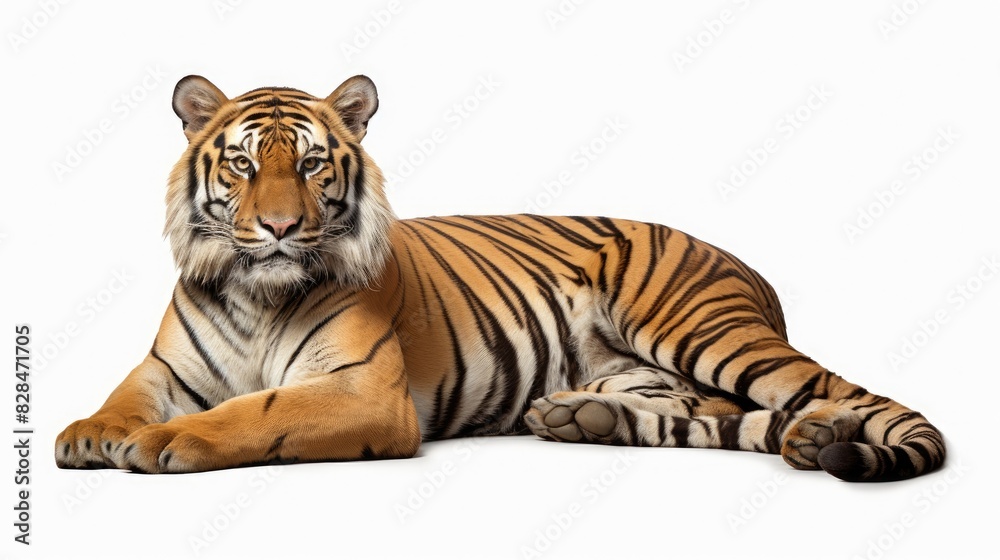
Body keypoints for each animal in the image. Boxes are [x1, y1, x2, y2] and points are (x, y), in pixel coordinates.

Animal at [54, 74, 946, 482]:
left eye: (309, 164)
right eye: (242, 165)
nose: (277, 228)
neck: (257, 291)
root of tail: (747, 265)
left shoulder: (360, 389)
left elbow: (256, 410)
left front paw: (160, 443)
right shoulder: (167, 367)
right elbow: (124, 396)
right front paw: (91, 434)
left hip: (703, 330)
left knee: (833, 392)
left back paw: (822, 434)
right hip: (650, 372)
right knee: (716, 412)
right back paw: (587, 419)